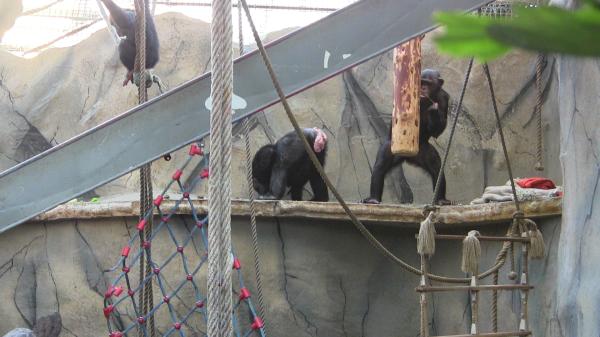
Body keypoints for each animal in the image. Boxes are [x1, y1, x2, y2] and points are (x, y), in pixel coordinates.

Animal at [360, 68, 450, 203]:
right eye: (421, 82)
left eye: (428, 83)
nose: (422, 88)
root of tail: (407, 157)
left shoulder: (444, 98)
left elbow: (438, 130)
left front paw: (433, 110)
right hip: (391, 147)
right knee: (380, 165)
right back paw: (374, 199)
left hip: (424, 151)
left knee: (437, 168)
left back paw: (441, 200)